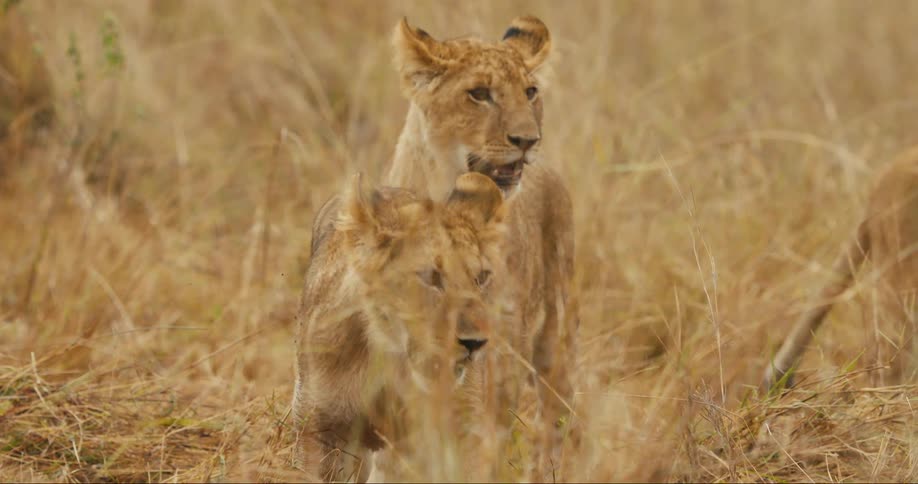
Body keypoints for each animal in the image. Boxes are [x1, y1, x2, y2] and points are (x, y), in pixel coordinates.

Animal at [292, 172, 508, 482]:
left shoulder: (456, 430)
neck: (390, 352)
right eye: (431, 276)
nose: (475, 342)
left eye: (481, 277)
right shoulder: (320, 425)